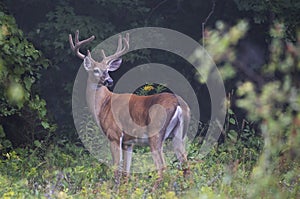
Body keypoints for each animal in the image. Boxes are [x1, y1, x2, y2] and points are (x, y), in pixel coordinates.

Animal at [69, 30, 190, 187]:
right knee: (186, 164)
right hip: (179, 134)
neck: (103, 104)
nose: (109, 80)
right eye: (95, 70)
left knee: (162, 167)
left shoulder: (114, 135)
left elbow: (116, 169)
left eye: (107, 70)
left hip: (155, 134)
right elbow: (126, 172)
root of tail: (180, 104)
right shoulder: (128, 143)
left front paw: (114, 189)